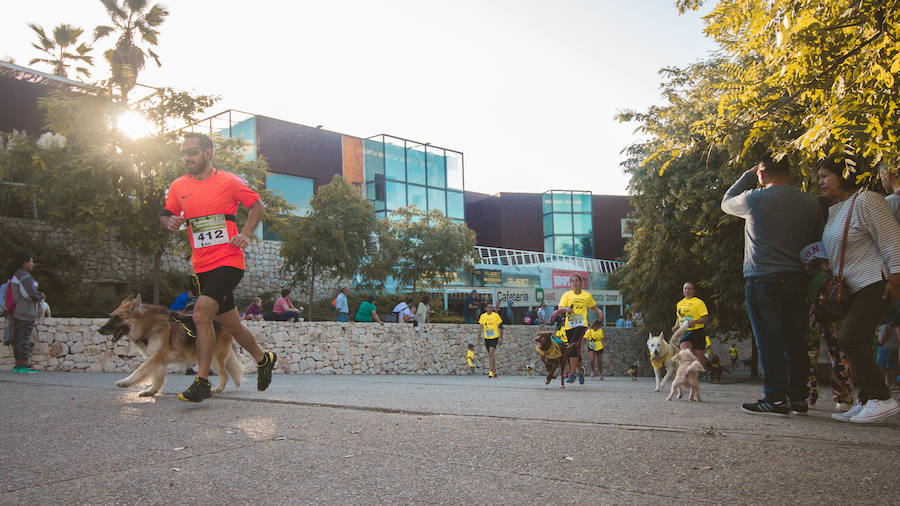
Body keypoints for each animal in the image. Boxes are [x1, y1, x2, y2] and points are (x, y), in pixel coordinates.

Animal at [98, 294, 243, 398]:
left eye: (117, 318)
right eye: (110, 316)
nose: (99, 330)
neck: (148, 324)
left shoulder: (157, 356)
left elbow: (140, 370)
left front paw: (126, 382)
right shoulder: (158, 358)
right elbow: (158, 377)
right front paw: (152, 391)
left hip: (213, 359)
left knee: (224, 375)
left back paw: (218, 388)